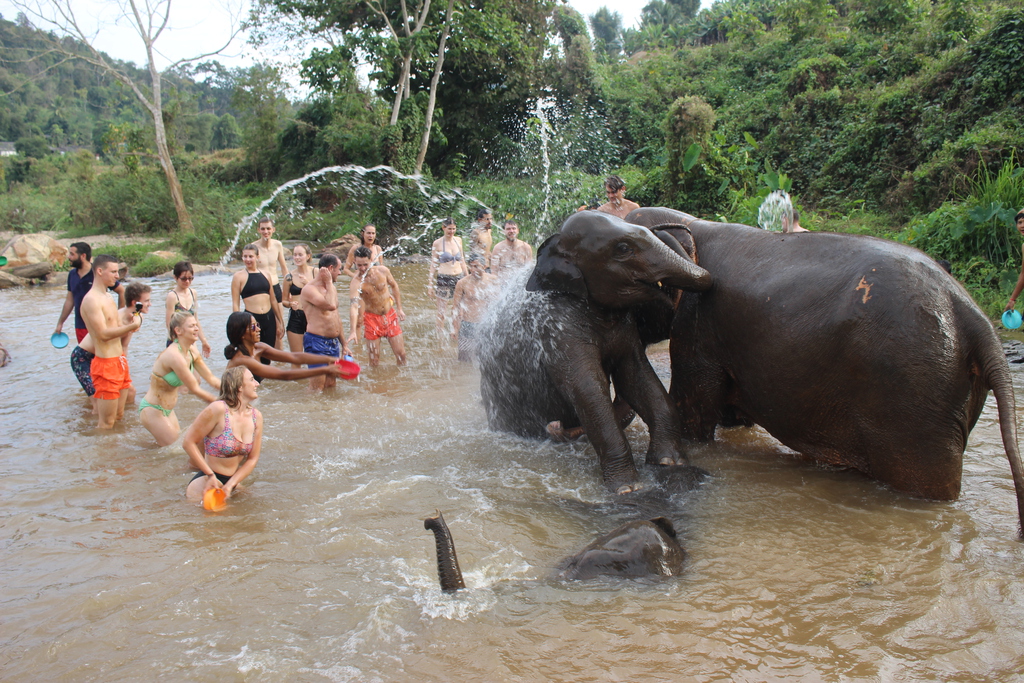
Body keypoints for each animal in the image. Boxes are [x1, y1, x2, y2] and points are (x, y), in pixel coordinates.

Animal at [477, 210, 712, 494]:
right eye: (623, 249)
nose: (673, 228)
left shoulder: (624, 330)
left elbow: (637, 377)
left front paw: (670, 463)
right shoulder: (556, 328)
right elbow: (588, 389)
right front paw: (628, 488)